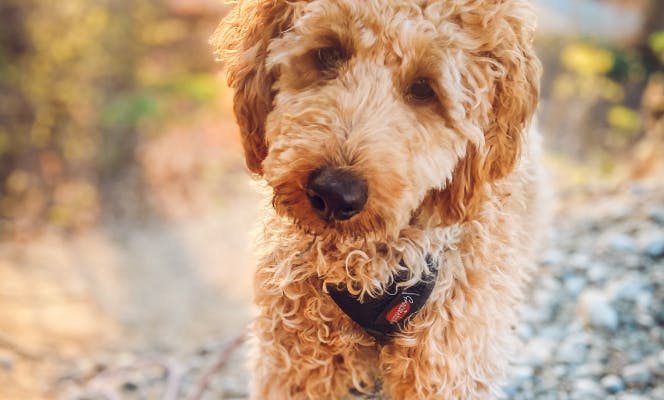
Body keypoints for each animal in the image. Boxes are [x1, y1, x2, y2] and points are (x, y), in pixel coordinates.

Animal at [215, 1, 544, 398]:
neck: (364, 267)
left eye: (424, 88)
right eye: (329, 53)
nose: (334, 192)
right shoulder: (295, 364)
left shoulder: (445, 365)